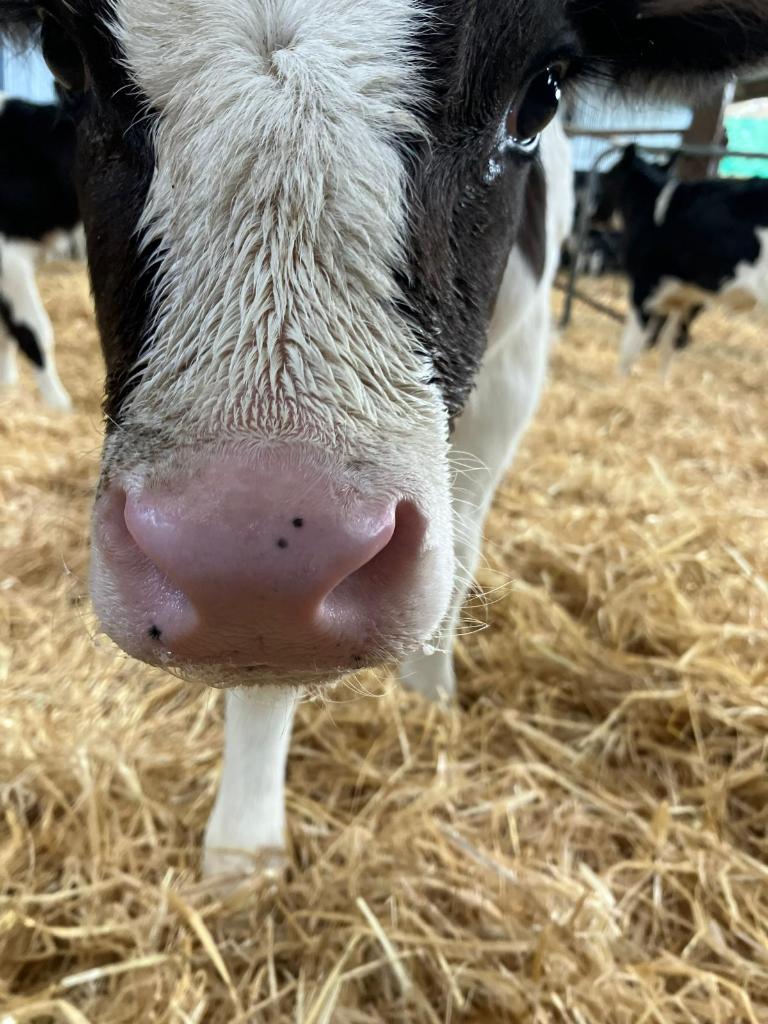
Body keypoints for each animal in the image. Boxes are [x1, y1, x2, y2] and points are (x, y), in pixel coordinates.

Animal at [601, 145, 768, 374]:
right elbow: (668, 349)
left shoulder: (642, 289)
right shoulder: (686, 296)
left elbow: (628, 353)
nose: (594, 213)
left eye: (608, 175)